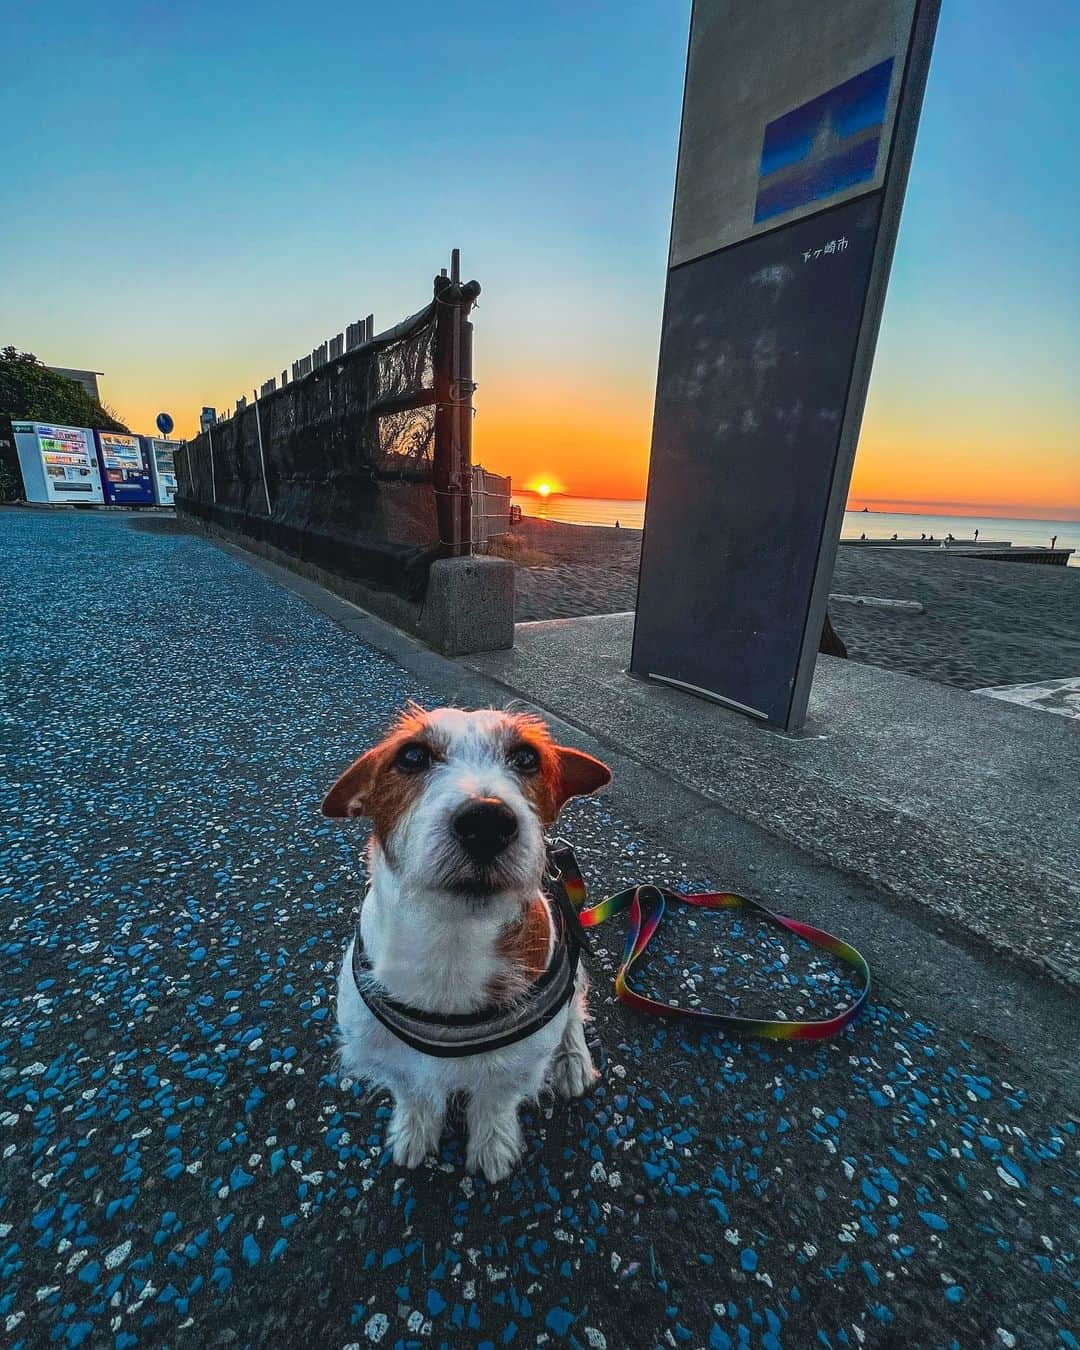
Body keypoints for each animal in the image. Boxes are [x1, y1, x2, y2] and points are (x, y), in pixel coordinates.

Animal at [321, 707, 612, 1182]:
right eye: (412, 755)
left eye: (527, 758)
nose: (486, 822)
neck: (452, 945)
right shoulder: (385, 1052)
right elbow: (413, 1091)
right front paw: (414, 1130)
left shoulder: (521, 1061)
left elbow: (495, 1100)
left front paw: (493, 1144)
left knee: (573, 1012)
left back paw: (572, 1061)